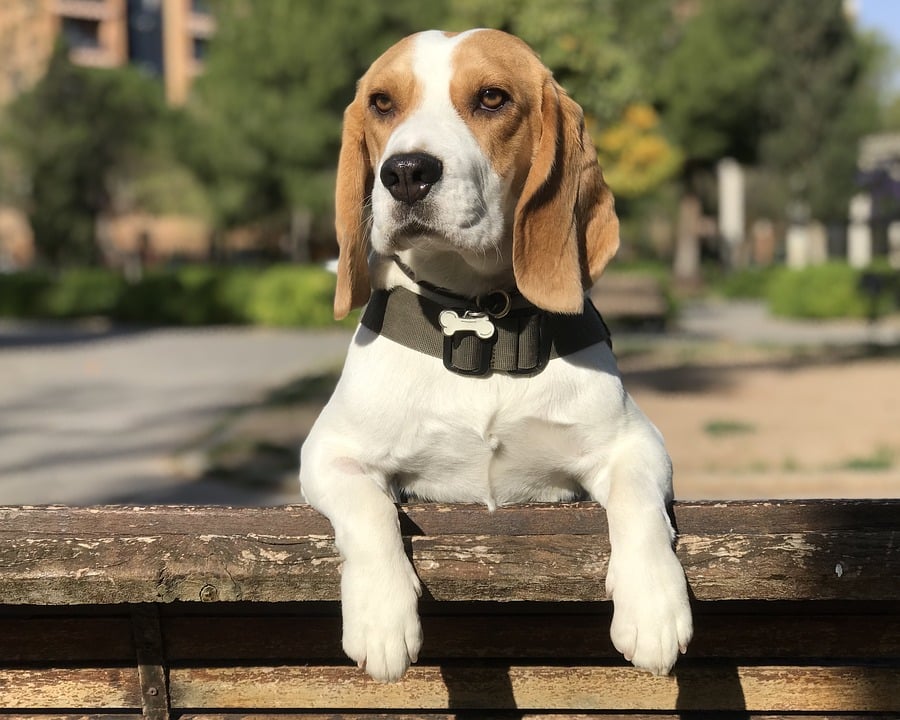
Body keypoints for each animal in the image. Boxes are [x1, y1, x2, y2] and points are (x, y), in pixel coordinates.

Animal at [298, 28, 692, 680]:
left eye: (491, 98)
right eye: (382, 103)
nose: (405, 171)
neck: (480, 327)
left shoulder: (636, 442)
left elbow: (638, 503)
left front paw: (654, 605)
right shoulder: (329, 452)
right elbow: (369, 508)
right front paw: (381, 616)